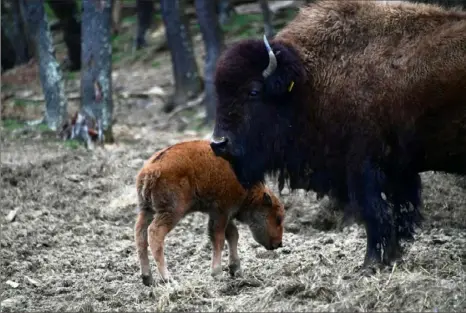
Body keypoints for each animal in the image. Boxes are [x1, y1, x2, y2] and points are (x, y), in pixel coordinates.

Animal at [133, 140, 282, 284]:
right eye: (278, 218)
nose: (279, 244)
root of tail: (150, 171)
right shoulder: (221, 212)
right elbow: (219, 239)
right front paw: (217, 273)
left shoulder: (223, 214)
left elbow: (233, 235)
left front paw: (235, 269)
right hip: (171, 212)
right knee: (155, 233)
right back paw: (167, 278)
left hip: (146, 210)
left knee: (140, 235)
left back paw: (147, 278)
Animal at [210, 0, 466, 268]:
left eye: (253, 91)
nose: (218, 143)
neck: (309, 82)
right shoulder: (398, 171)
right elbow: (397, 213)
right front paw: (390, 258)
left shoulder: (363, 167)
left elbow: (375, 213)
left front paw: (369, 264)